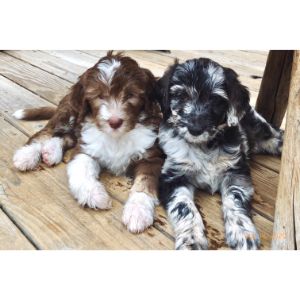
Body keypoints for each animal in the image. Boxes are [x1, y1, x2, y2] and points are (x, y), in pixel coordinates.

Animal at [12, 52, 164, 233]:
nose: (114, 122)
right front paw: (95, 196)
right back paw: (27, 154)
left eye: (130, 95)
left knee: (66, 137)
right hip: (68, 113)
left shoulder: (152, 156)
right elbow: (81, 171)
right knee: (46, 132)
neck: (116, 136)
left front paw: (138, 211)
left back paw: (51, 151)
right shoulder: (86, 149)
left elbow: (145, 183)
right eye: (99, 96)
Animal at [158, 57, 282, 250]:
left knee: (276, 137)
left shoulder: (236, 172)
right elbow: (183, 206)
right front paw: (191, 239)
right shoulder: (172, 176)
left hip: (261, 128)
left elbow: (235, 197)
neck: (204, 146)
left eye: (214, 100)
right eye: (182, 96)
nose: (195, 129)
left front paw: (242, 232)